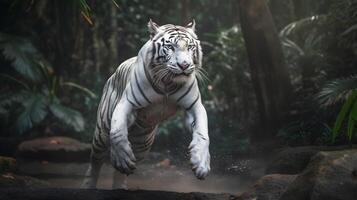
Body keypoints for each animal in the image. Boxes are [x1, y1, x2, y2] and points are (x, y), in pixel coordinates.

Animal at [81, 19, 209, 188]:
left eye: (190, 47)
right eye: (170, 47)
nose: (184, 65)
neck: (168, 83)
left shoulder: (194, 106)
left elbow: (203, 134)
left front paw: (201, 164)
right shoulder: (127, 102)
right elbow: (117, 132)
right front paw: (122, 157)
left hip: (143, 144)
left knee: (120, 172)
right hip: (101, 134)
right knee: (95, 161)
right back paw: (89, 184)